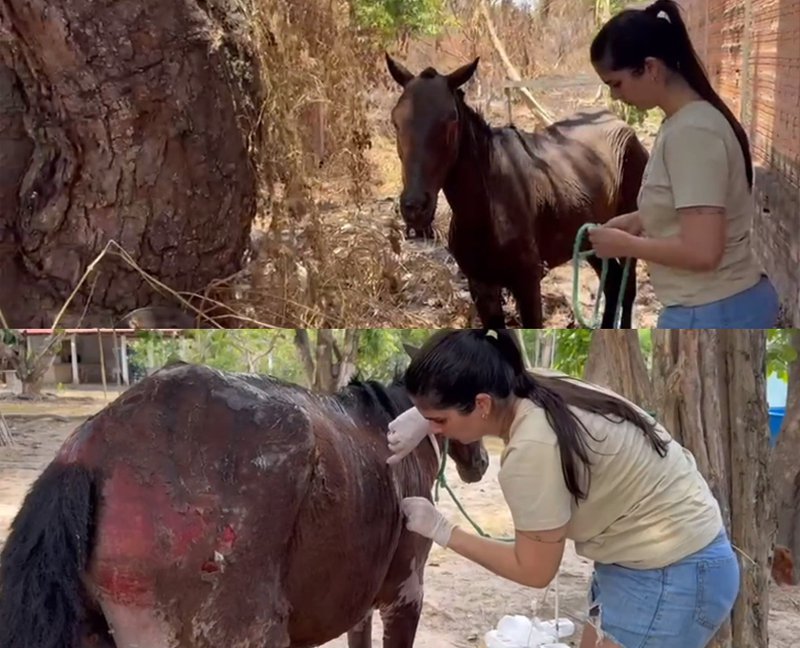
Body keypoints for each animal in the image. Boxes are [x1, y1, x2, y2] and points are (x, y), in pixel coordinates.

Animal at [382, 54, 648, 330]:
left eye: (451, 119)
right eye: (396, 121)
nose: (415, 207)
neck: (487, 207)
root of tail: (623, 125)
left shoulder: (528, 283)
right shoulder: (482, 285)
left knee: (627, 288)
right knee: (613, 284)